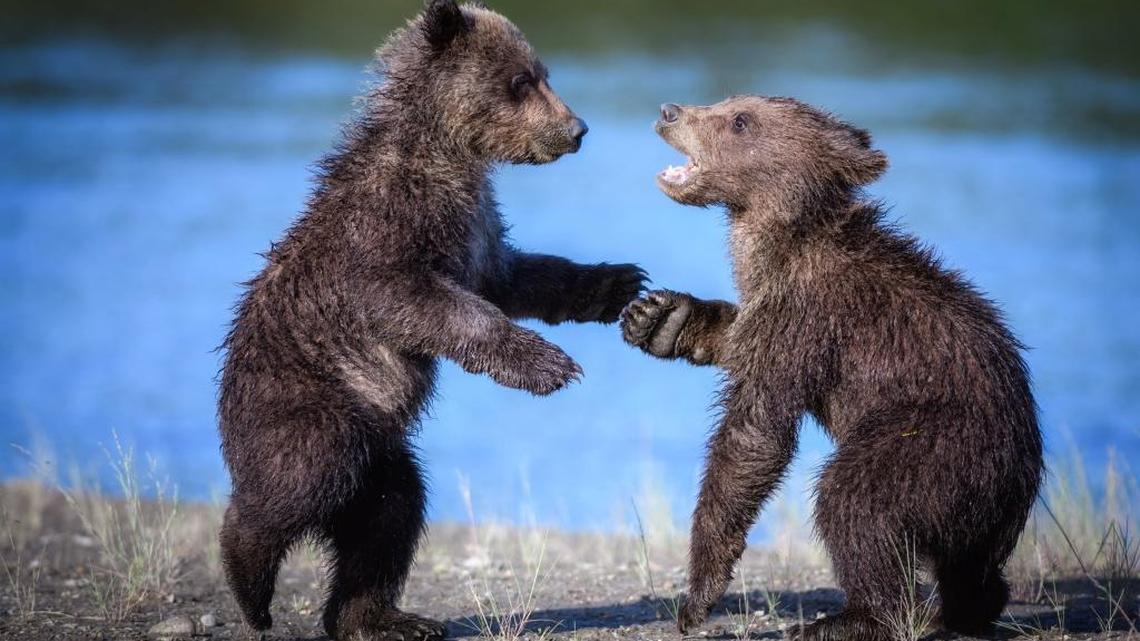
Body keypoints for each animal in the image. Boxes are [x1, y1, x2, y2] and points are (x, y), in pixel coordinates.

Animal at [217, 2, 646, 639]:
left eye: (543, 74)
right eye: (521, 80)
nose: (577, 129)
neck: (445, 153)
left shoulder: (477, 227)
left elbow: (512, 278)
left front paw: (616, 281)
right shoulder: (386, 229)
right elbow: (424, 301)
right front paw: (548, 365)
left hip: (382, 456)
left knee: (389, 519)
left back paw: (383, 617)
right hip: (311, 402)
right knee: (301, 481)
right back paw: (250, 580)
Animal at [620, 96, 1042, 641]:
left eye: (740, 120)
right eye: (727, 105)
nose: (670, 111)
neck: (779, 245)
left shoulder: (807, 315)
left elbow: (756, 432)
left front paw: (697, 596)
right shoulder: (770, 307)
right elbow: (739, 338)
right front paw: (661, 318)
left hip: (940, 443)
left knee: (855, 499)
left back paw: (849, 619)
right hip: (980, 503)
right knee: (970, 563)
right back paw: (969, 608)